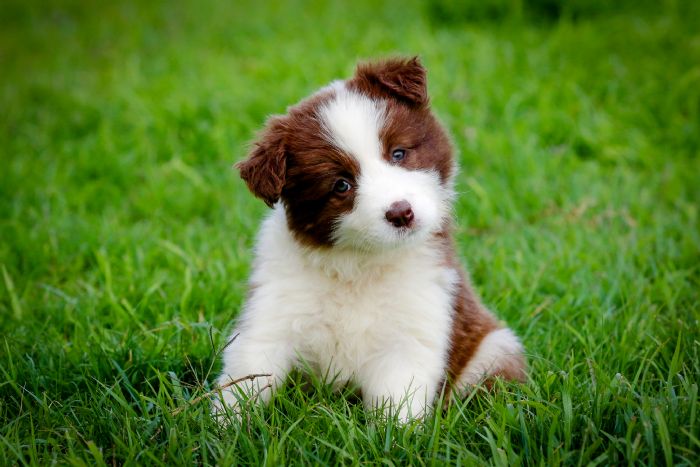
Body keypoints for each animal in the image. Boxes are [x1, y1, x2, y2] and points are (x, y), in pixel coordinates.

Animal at [213, 56, 524, 422]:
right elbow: (246, 376)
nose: (401, 213)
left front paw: (397, 435)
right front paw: (222, 427)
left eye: (399, 154)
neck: (358, 262)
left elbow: (398, 402)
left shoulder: (412, 329)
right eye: (341, 185)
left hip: (495, 350)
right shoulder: (272, 311)